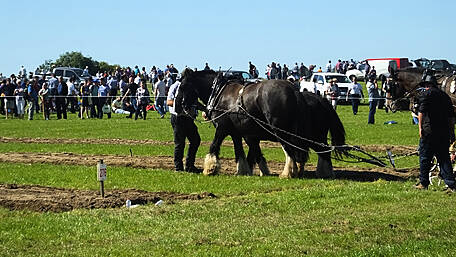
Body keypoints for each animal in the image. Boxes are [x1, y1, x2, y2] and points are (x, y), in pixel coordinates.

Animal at [175, 68, 346, 178]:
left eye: (183, 86)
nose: (180, 106)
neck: (219, 93)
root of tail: (294, 90)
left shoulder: (222, 128)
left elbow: (214, 146)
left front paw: (210, 168)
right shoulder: (240, 133)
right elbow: (243, 151)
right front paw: (245, 170)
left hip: (282, 130)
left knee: (291, 150)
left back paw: (288, 173)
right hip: (314, 135)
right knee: (321, 151)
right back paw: (321, 172)